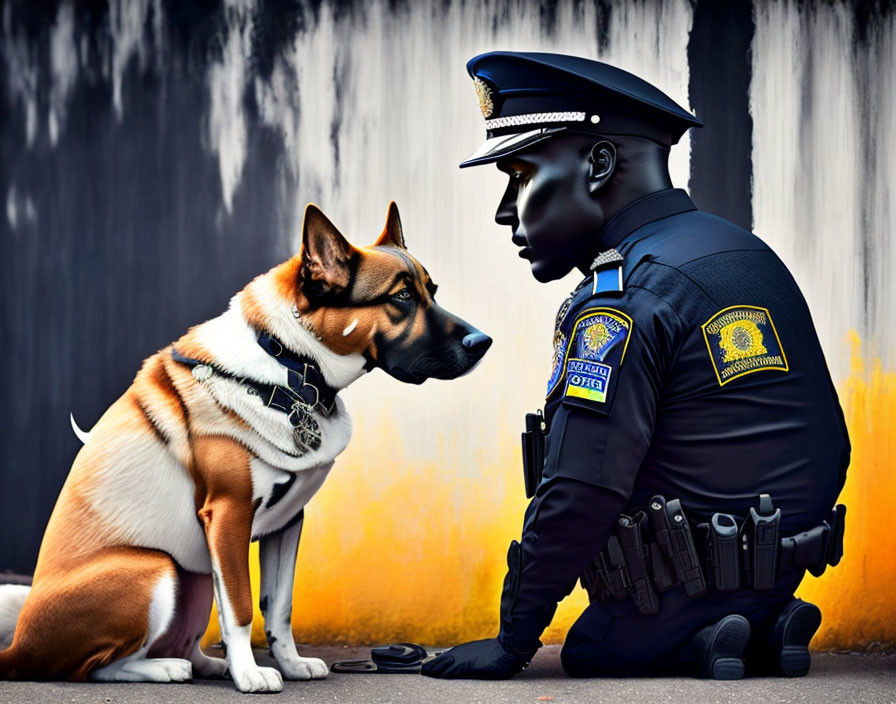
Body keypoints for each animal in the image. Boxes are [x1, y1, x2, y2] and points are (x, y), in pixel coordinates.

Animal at [0, 201, 490, 692]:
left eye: (432, 290)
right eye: (402, 297)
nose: (483, 342)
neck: (291, 365)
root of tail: (17, 648)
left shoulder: (288, 521)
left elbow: (279, 606)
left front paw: (289, 663)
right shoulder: (229, 515)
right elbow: (239, 605)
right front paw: (252, 674)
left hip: (194, 574)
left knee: (180, 643)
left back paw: (206, 666)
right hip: (156, 568)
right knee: (94, 667)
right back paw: (166, 669)